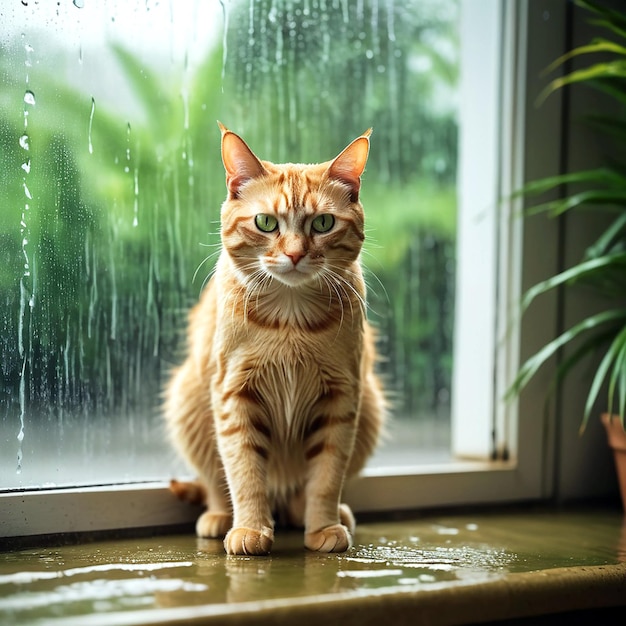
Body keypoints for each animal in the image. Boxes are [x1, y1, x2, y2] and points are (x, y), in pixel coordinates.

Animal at [163, 124, 382, 552]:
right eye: (265, 222)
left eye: (322, 224)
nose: (295, 255)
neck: (290, 322)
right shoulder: (234, 394)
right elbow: (244, 471)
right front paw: (250, 528)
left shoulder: (342, 397)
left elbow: (327, 475)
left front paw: (323, 526)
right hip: (188, 398)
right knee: (215, 482)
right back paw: (219, 517)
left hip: (371, 408)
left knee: (300, 494)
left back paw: (318, 514)